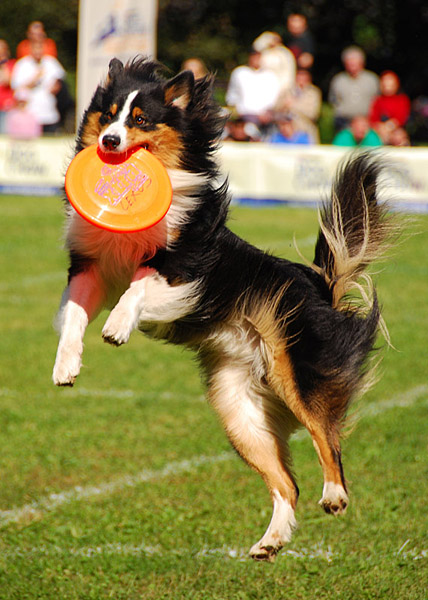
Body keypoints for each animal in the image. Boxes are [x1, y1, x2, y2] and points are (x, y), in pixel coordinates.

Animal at [51, 57, 392, 564]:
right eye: (108, 115)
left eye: (140, 120)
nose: (108, 142)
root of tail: (321, 286)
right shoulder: (90, 267)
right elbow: (74, 316)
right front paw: (66, 365)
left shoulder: (184, 269)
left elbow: (138, 289)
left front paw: (116, 326)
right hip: (238, 409)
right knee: (286, 483)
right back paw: (271, 542)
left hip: (296, 373)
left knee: (326, 434)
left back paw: (333, 494)